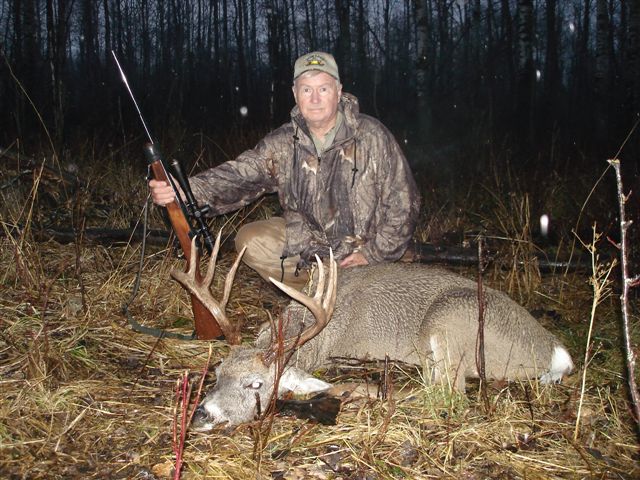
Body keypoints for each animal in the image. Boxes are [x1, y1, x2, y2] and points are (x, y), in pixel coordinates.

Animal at [171, 234, 574, 431]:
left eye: (255, 384)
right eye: (217, 373)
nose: (201, 415)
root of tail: (556, 351)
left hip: (448, 320)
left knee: (447, 394)